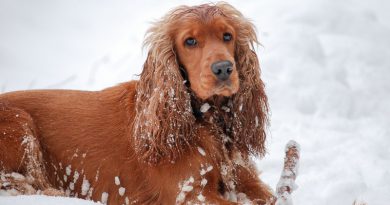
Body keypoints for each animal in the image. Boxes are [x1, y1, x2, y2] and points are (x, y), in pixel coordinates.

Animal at [0, 2, 274, 204]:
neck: (207, 119)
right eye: (190, 41)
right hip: (19, 123)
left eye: (227, 36)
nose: (224, 68)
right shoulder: (190, 194)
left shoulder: (246, 179)